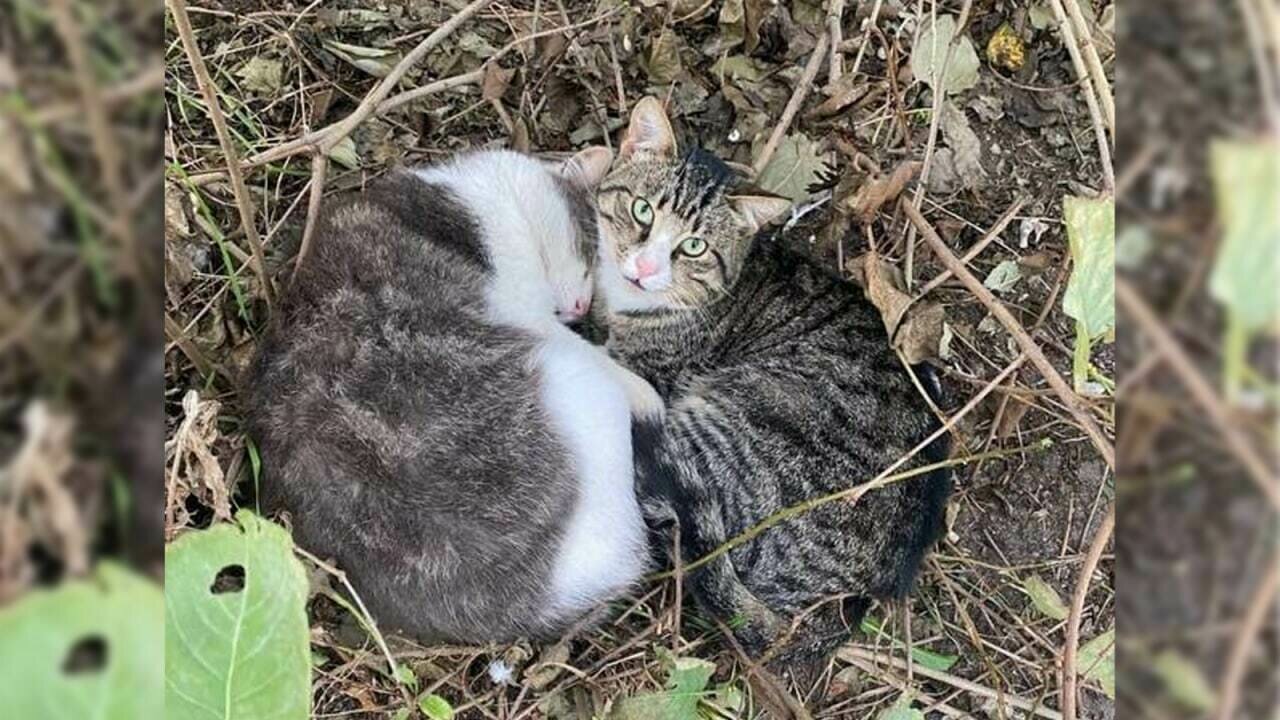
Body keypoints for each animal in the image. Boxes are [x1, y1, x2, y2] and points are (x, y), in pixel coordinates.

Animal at [596, 99, 952, 676]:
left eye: (693, 246)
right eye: (642, 211)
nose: (644, 268)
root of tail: (833, 611)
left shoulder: (653, 371)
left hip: (728, 418)